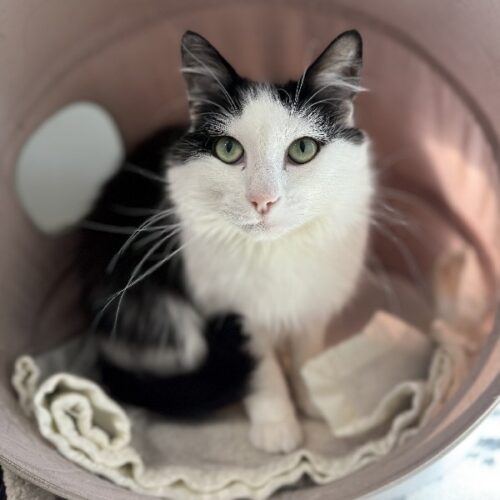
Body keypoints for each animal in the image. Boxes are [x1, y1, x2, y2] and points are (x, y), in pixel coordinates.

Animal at [80, 29, 375, 453]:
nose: (263, 200)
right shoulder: (234, 311)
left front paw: (315, 398)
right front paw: (278, 428)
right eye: (228, 149)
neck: (276, 253)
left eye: (303, 149)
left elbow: (305, 352)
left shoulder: (315, 299)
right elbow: (263, 371)